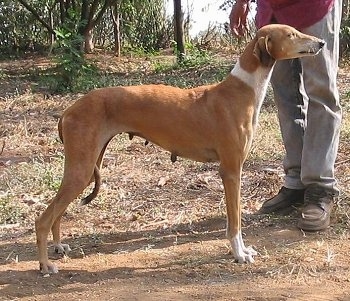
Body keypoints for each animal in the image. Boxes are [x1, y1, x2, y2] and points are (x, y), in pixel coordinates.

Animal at [34, 25, 324, 274]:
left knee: (57, 211)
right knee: (44, 218)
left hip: (83, 168)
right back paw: (45, 265)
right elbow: (235, 222)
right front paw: (239, 254)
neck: (241, 89)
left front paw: (241, 251)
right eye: (291, 34)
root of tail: (68, 110)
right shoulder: (231, 171)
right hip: (81, 169)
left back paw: (58, 246)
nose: (321, 43)